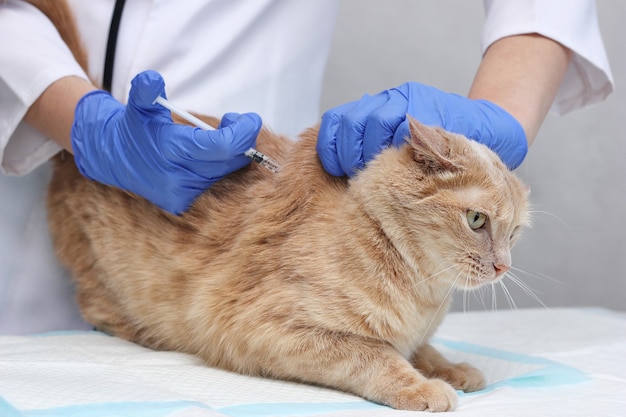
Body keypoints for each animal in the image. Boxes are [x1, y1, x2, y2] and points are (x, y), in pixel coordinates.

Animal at [28, 0, 528, 410]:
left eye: (515, 231)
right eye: (477, 220)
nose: (502, 265)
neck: (422, 296)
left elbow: (419, 349)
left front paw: (451, 367)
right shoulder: (259, 327)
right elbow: (372, 354)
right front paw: (421, 386)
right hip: (104, 281)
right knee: (97, 309)